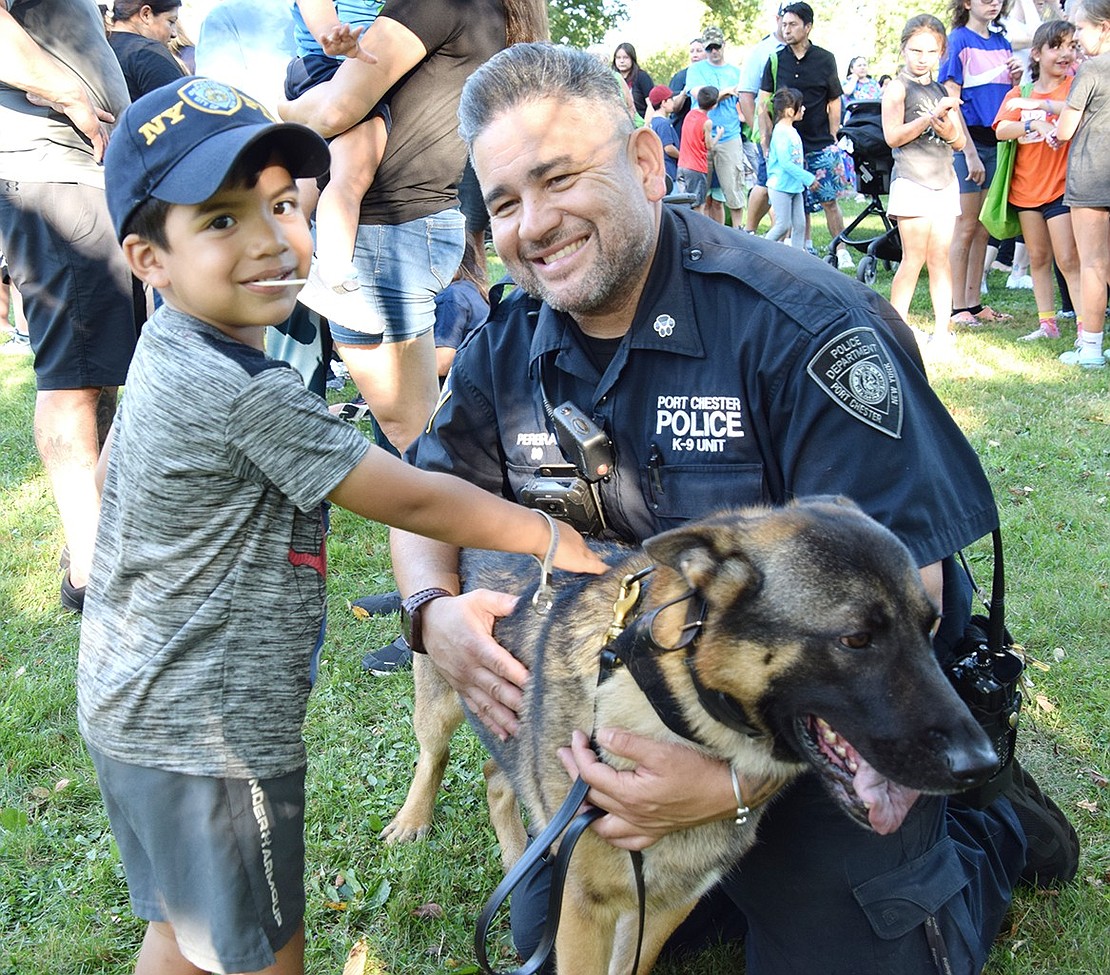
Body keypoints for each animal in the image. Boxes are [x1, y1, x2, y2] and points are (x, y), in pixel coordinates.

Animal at [381, 499, 999, 975]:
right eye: (855, 640)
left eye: (931, 628)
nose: (983, 765)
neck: (668, 708)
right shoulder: (584, 909)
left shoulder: (663, 905)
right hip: (441, 692)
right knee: (434, 755)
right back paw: (413, 821)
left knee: (497, 775)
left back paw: (517, 857)